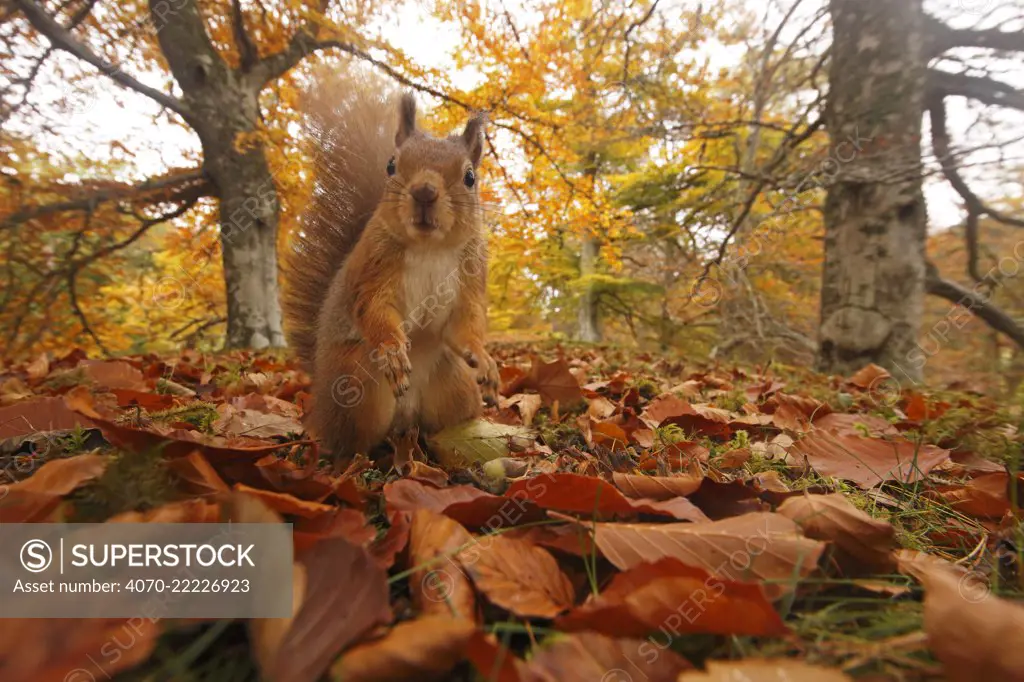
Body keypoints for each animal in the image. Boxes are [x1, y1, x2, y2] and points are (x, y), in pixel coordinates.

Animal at [284, 78, 499, 462]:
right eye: (390, 165)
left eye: (470, 177)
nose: (424, 191)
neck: (429, 247)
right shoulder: (373, 268)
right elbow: (374, 309)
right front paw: (393, 350)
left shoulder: (471, 275)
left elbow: (463, 325)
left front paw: (484, 358)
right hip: (356, 387)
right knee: (351, 442)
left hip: (456, 386)